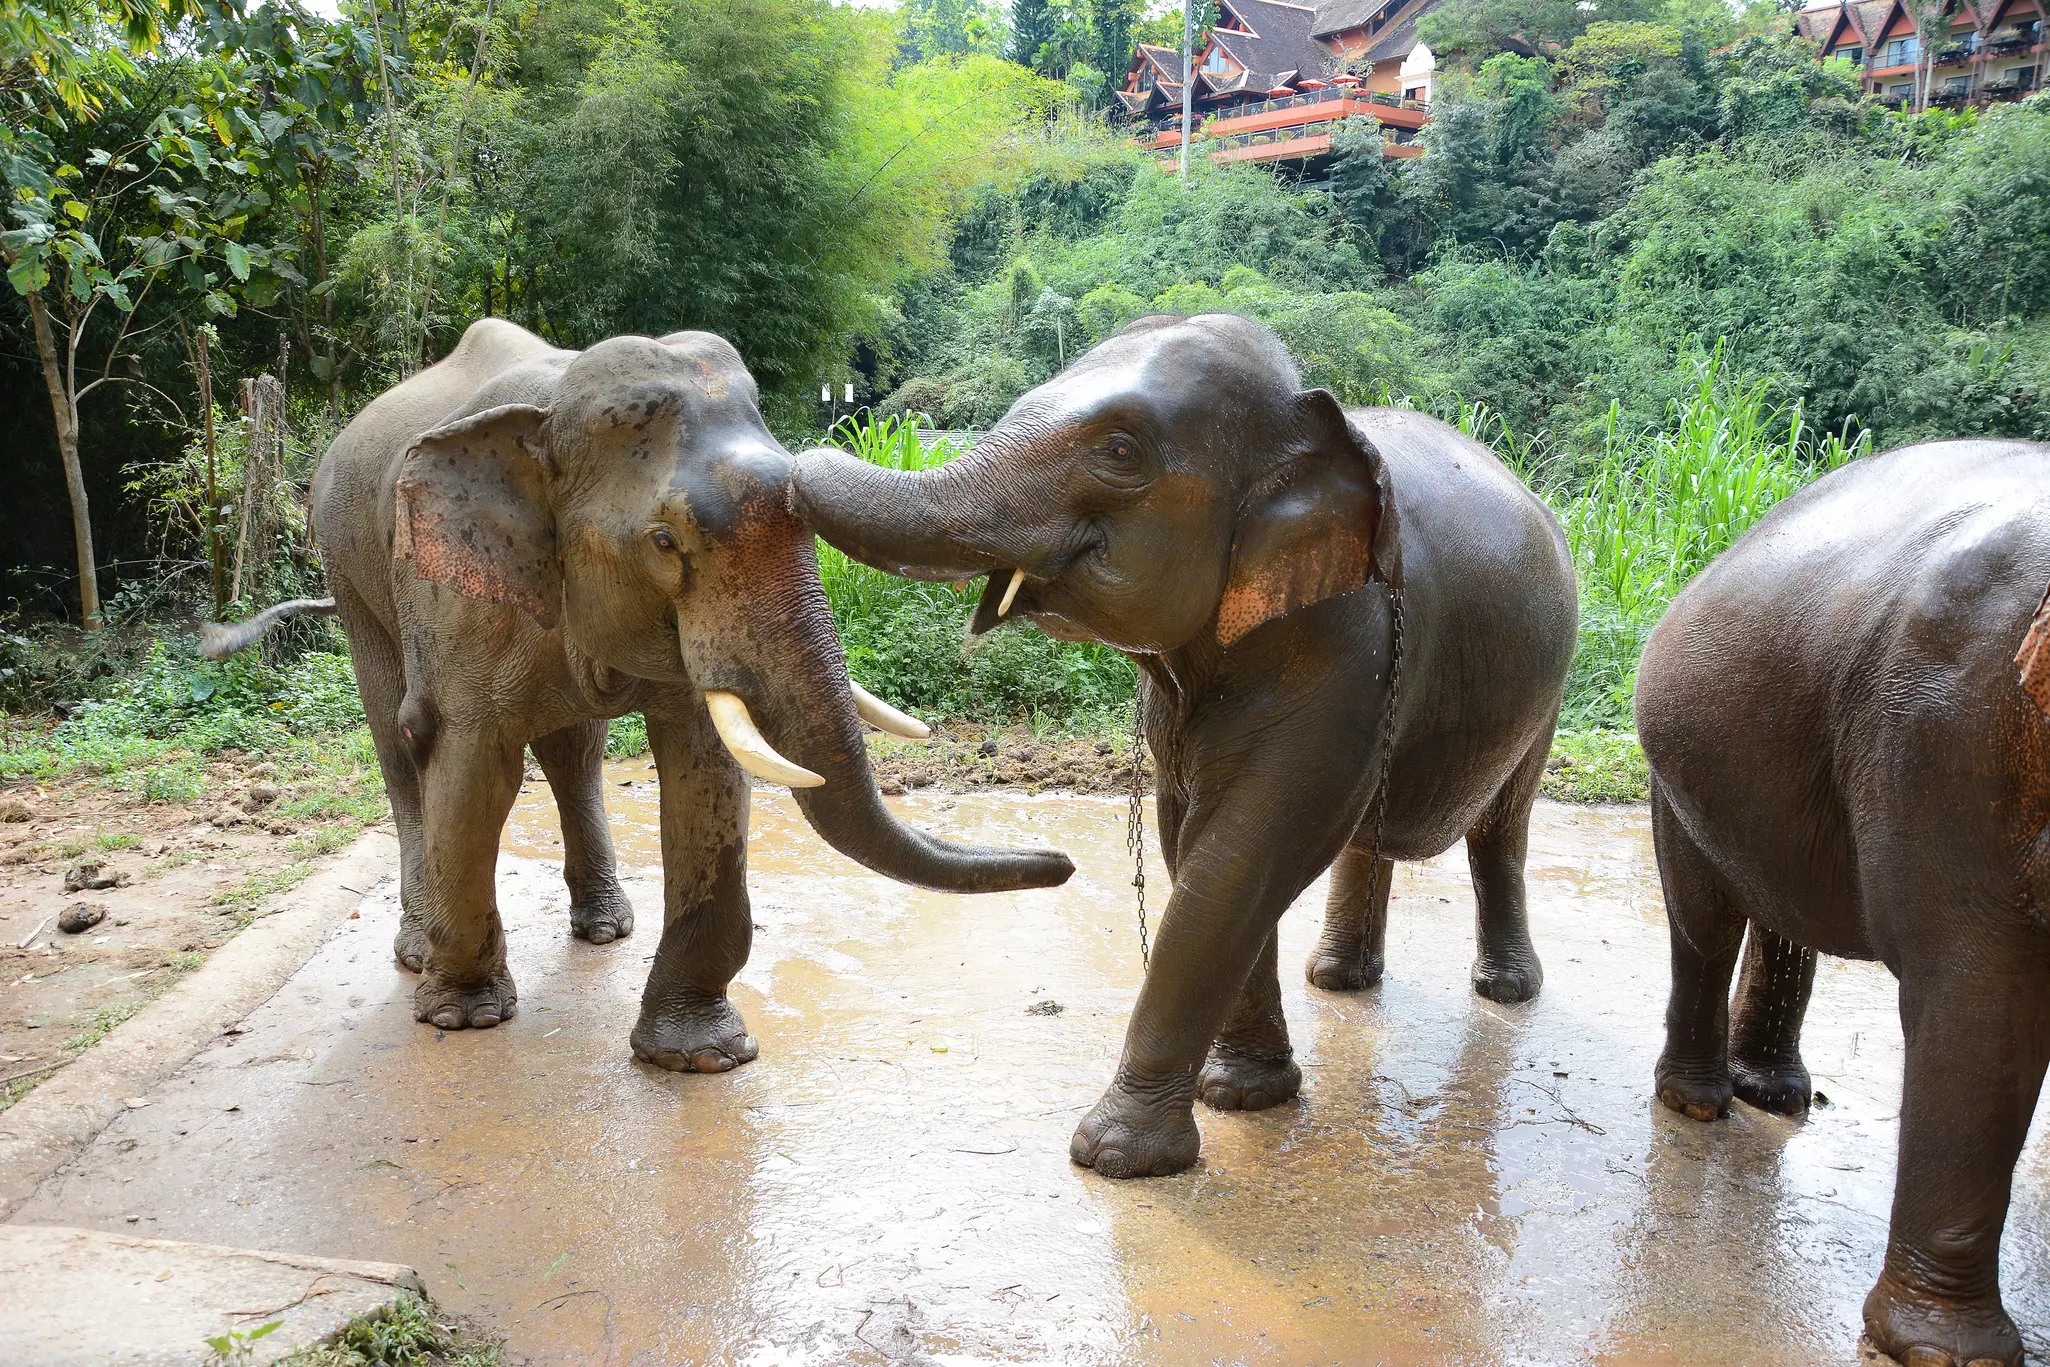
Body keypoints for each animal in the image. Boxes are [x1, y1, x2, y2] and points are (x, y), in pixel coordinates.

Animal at [211, 318, 1072, 1068]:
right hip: (348, 562)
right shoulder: (456, 588)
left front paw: (700, 1058)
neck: (549, 413)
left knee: (573, 751)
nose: (1063, 864)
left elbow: (705, 766)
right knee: (400, 741)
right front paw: (463, 1017)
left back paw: (604, 929)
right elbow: (470, 759)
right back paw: (418, 950)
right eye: (664, 541)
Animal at [791, 313, 1578, 1177]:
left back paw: (1504, 989)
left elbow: (1247, 844)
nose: (789, 463)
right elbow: (1192, 837)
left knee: (1502, 825)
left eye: (1120, 451)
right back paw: (1338, 981)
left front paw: (1114, 1155)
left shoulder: (1347, 638)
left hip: (1548, 689)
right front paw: (1240, 1095)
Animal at [1633, 440, 2050, 1367]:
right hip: (1676, 773)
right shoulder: (1954, 734)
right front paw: (1949, 1356)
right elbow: (1984, 1006)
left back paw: (1774, 1097)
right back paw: (1701, 1105)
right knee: (1704, 919)